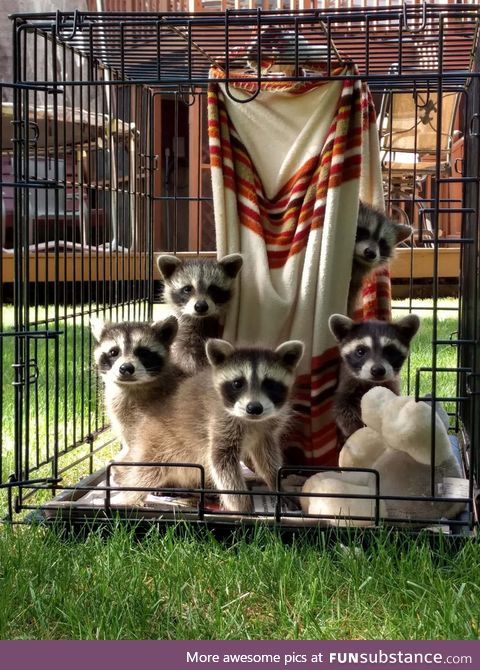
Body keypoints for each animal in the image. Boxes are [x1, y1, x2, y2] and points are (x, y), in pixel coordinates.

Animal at [112, 338, 304, 512]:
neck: (252, 421)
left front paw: (276, 485)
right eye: (237, 383)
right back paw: (128, 497)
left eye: (270, 384)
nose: (254, 408)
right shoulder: (219, 420)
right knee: (144, 474)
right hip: (157, 442)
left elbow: (268, 459)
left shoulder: (267, 431)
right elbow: (222, 462)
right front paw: (242, 507)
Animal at [328, 316, 418, 446]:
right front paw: (354, 429)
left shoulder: (392, 385)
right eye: (360, 351)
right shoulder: (346, 385)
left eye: (390, 351)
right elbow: (342, 409)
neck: (372, 382)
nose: (378, 370)